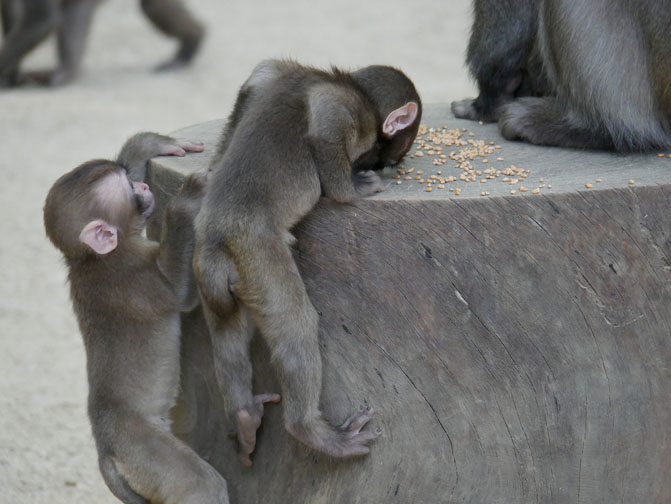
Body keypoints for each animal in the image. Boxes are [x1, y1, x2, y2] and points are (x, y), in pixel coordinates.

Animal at [0, 0, 204, 87]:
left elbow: (41, 19)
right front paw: (11, 77)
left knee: (153, 7)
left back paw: (192, 44)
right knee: (74, 11)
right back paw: (66, 71)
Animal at [43, 132, 251, 504]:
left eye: (129, 178)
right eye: (130, 190)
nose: (142, 185)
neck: (90, 259)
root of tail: (106, 450)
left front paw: (147, 146)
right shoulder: (133, 278)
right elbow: (178, 295)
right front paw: (186, 201)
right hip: (143, 449)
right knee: (200, 485)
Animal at [193, 59, 422, 463]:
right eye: (395, 153)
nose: (390, 163)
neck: (346, 83)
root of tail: (217, 239)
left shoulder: (279, 73)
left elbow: (257, 81)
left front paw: (211, 168)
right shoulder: (351, 110)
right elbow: (324, 129)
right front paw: (352, 190)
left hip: (216, 268)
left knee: (227, 339)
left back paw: (244, 415)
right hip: (258, 254)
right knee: (297, 327)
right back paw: (313, 432)